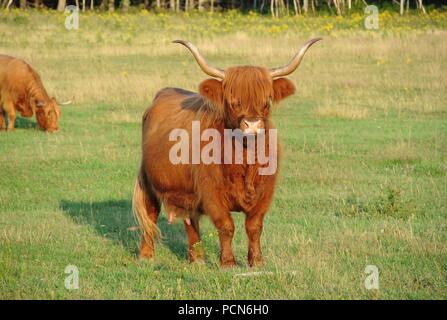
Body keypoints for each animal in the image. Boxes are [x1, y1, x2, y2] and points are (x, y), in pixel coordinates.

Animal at [133, 38, 322, 268]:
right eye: (233, 101)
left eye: (266, 101)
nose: (252, 124)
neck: (244, 159)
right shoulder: (211, 192)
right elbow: (226, 225)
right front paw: (228, 263)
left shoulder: (265, 192)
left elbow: (254, 227)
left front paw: (256, 261)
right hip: (149, 181)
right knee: (150, 213)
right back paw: (146, 255)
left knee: (190, 220)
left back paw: (197, 258)